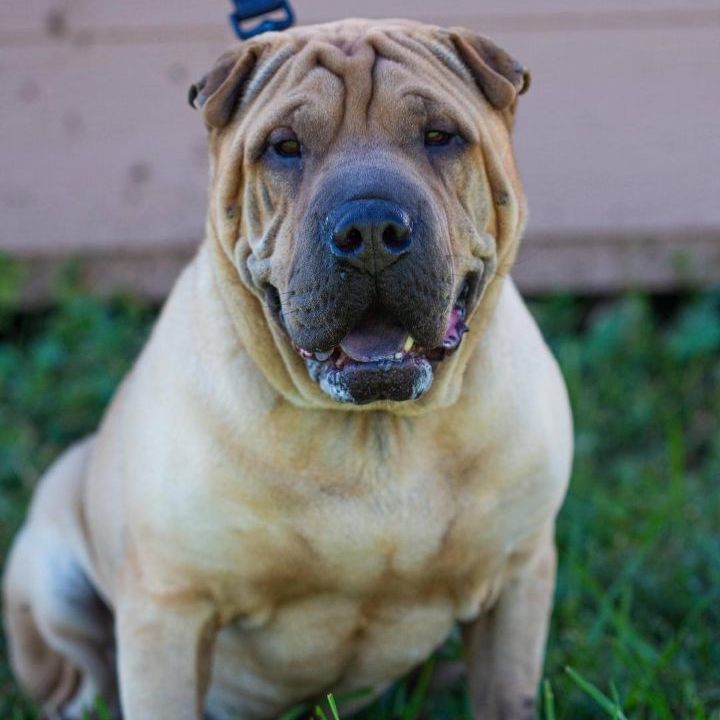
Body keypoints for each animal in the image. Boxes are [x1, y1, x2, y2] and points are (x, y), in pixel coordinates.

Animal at [2, 15, 572, 720]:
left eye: (440, 136)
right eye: (284, 147)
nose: (372, 228)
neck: (375, 432)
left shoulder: (516, 579)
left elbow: (506, 692)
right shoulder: (171, 608)